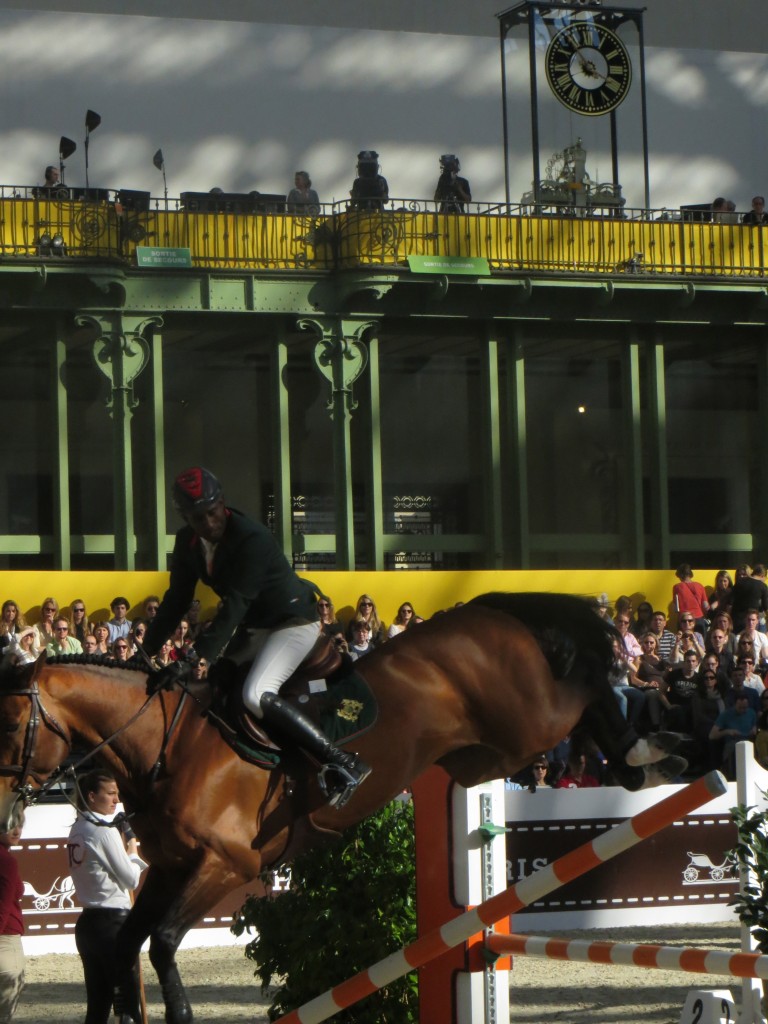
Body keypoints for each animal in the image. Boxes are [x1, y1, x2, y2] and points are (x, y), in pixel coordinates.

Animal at [0, 593, 679, 1024]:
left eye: (9, 729)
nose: (7, 811)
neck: (166, 746)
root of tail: (483, 610)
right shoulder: (169, 868)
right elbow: (126, 945)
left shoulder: (225, 865)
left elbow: (163, 944)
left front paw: (183, 1015)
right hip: (486, 757)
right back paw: (636, 760)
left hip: (527, 722)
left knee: (586, 686)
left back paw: (651, 750)